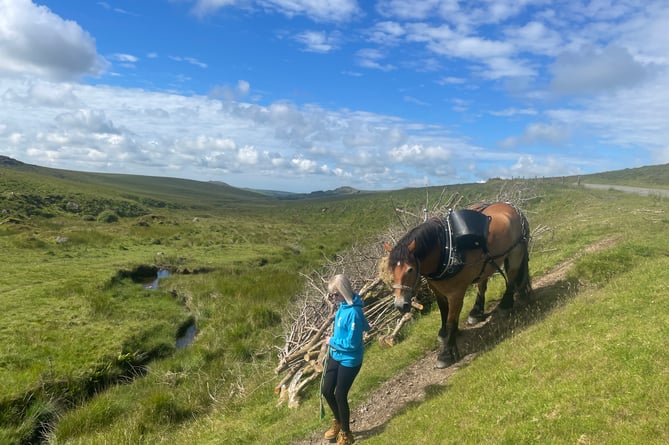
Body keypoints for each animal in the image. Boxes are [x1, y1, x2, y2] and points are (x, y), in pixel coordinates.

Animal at [384, 202, 528, 368]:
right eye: (390, 270)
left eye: (410, 270)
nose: (400, 305)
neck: (445, 249)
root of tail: (510, 206)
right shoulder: (438, 290)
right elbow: (444, 312)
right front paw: (444, 333)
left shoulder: (456, 293)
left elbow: (451, 320)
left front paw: (447, 353)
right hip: (486, 263)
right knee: (482, 284)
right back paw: (476, 312)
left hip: (515, 252)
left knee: (512, 278)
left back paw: (506, 304)